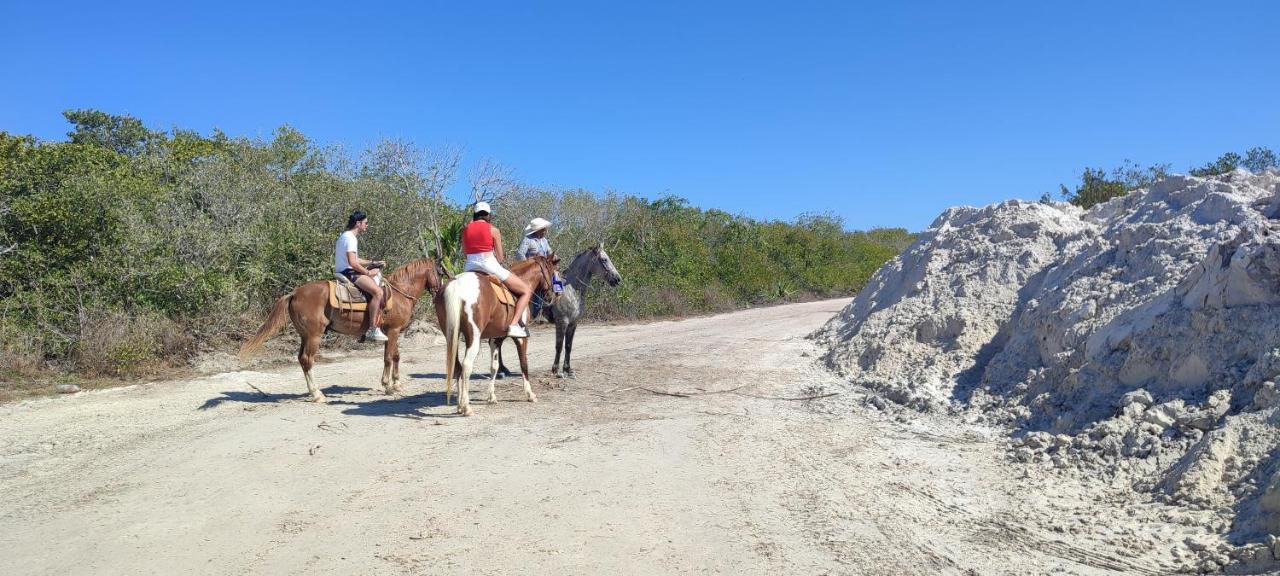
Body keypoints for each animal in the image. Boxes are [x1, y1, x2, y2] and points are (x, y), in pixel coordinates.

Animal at [437, 254, 558, 417]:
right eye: (551, 272)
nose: (552, 296)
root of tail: (457, 284)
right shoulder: (521, 339)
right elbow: (524, 364)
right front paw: (530, 394)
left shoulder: (495, 339)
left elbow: (494, 366)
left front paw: (491, 397)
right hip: (473, 337)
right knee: (466, 366)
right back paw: (466, 407)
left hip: (452, 336)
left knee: (457, 367)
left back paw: (459, 406)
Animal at [491, 243, 622, 378]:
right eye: (604, 259)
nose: (617, 279)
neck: (570, 290)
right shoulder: (562, 322)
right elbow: (559, 345)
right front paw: (556, 370)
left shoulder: (573, 323)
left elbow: (568, 345)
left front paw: (568, 369)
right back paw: (501, 370)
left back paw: (502, 369)